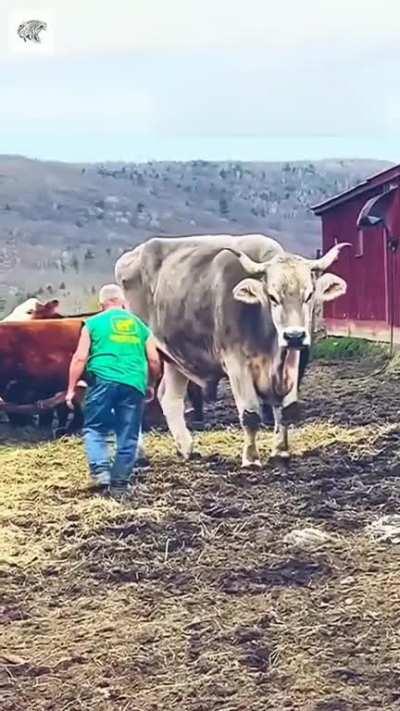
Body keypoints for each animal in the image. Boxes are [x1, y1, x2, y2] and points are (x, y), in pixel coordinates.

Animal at [115, 233, 348, 466]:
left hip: (176, 357)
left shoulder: (292, 362)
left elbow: (286, 411)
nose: (294, 336)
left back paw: (187, 448)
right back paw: (137, 454)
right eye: (272, 297)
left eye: (308, 295)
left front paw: (281, 451)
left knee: (169, 398)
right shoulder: (237, 364)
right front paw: (251, 458)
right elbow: (250, 414)